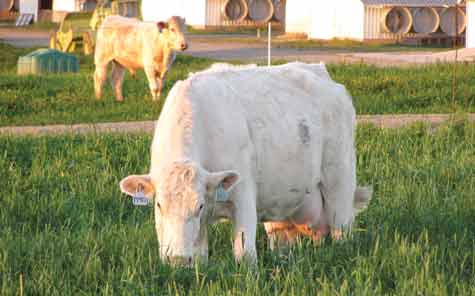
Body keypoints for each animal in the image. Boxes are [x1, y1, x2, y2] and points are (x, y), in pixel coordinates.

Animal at [119, 62, 372, 266]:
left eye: (199, 206)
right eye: (159, 205)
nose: (178, 259)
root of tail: (321, 72)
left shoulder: (243, 195)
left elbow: (244, 254)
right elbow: (200, 254)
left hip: (339, 183)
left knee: (341, 230)